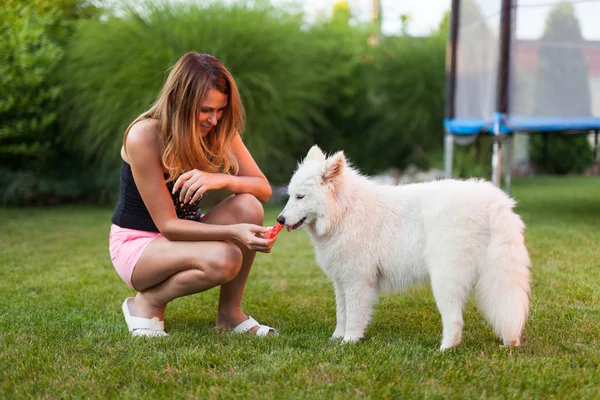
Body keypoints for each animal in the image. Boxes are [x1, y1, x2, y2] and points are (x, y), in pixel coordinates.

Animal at [276, 145, 528, 348]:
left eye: (300, 196)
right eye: (290, 195)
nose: (279, 219)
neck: (344, 211)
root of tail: (494, 201)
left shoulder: (358, 281)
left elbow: (355, 316)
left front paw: (349, 342)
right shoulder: (341, 282)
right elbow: (342, 314)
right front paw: (337, 338)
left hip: (445, 278)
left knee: (455, 320)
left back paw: (445, 349)